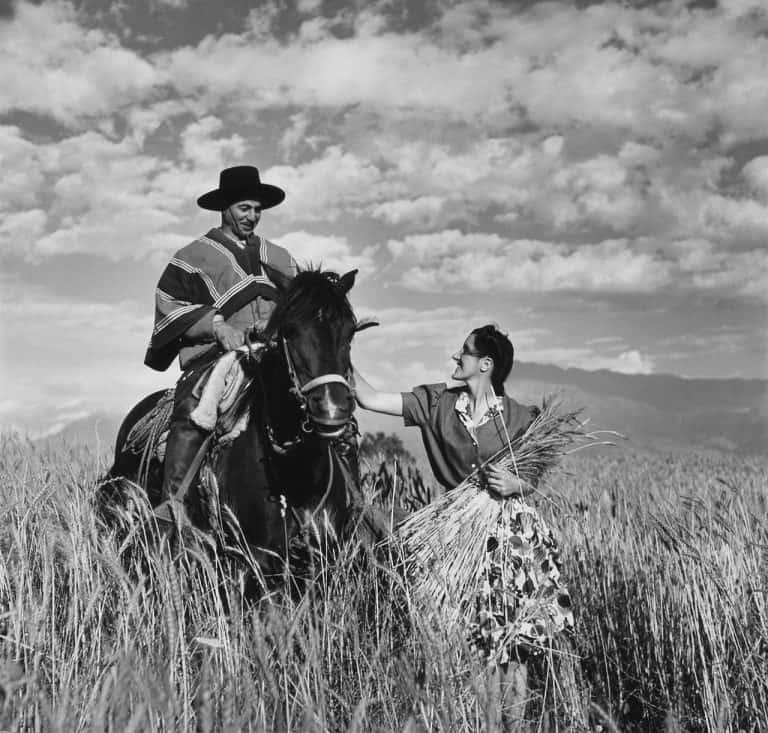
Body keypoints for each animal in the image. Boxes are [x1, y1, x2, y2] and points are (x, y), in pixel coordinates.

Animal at [100, 266, 370, 588]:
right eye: (289, 331)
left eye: (349, 332)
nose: (332, 407)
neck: (295, 475)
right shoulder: (257, 563)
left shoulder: (322, 560)